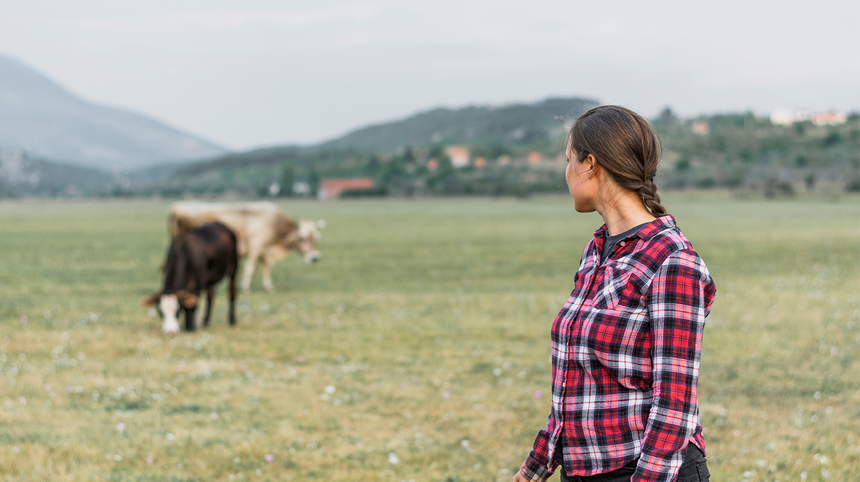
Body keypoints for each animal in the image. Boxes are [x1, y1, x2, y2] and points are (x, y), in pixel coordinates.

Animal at [166, 201, 324, 292]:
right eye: (303, 238)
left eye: (316, 238)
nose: (315, 258)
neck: (275, 224)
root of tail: (177, 208)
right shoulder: (256, 247)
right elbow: (251, 268)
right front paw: (246, 287)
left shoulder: (264, 251)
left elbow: (266, 268)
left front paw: (269, 287)